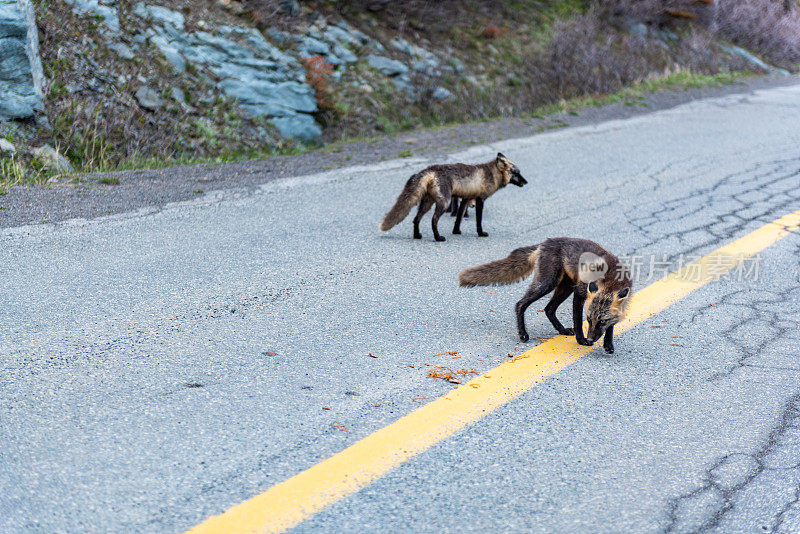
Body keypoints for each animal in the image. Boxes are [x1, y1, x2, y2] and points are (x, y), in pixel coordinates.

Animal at [380, 152, 528, 242]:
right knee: (433, 220)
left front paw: (456, 231)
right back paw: (438, 238)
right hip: (444, 203)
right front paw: (481, 234)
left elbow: (458, 218)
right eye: (517, 173)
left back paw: (417, 235)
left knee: (416, 219)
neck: (491, 175)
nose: (526, 182)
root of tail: (430, 169)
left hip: (427, 203)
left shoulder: (466, 199)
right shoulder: (480, 200)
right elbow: (478, 221)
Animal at [460, 239, 636, 356]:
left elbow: (612, 325)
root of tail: (545, 242)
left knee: (548, 309)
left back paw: (562, 330)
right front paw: (581, 340)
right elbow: (577, 321)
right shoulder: (580, 292)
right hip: (548, 283)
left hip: (565, 286)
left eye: (602, 321)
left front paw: (608, 344)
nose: (591, 339)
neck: (611, 279)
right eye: (589, 319)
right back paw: (523, 333)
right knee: (520, 304)